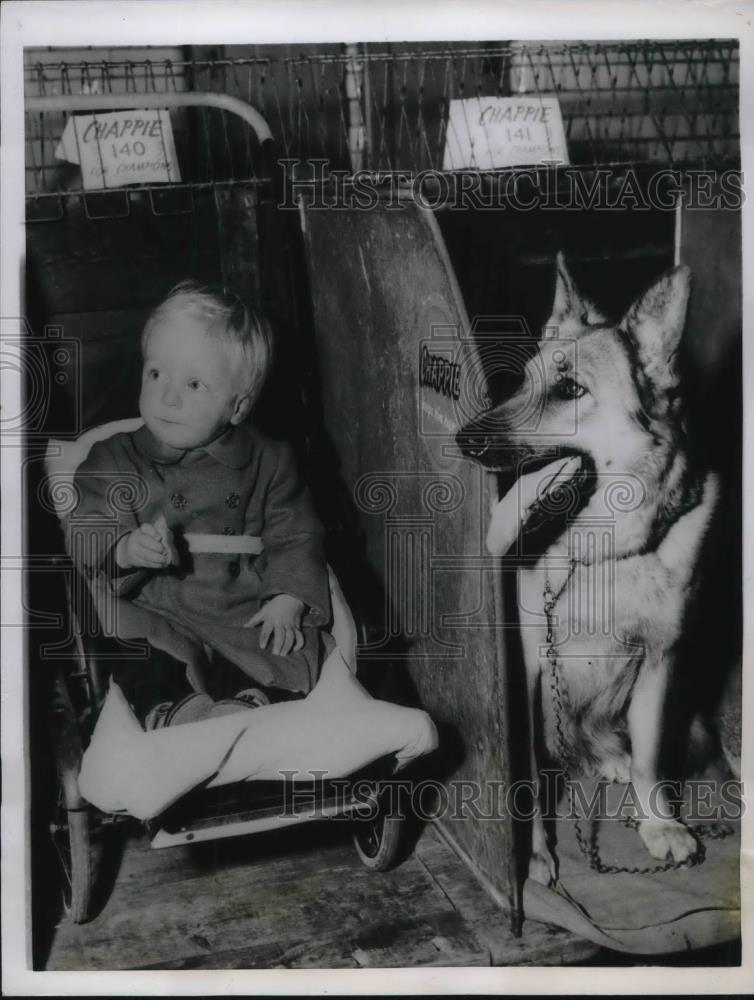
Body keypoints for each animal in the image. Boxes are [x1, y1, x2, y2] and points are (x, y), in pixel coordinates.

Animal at [458, 256, 716, 884]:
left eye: (570, 390)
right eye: (522, 384)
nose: (463, 442)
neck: (596, 552)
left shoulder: (660, 661)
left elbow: (651, 757)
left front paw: (658, 822)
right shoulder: (526, 670)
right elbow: (525, 776)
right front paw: (534, 852)